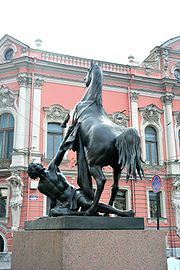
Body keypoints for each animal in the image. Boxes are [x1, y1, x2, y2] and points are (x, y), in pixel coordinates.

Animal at [51, 60, 143, 215]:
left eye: (87, 71)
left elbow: (63, 143)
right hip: (117, 167)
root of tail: (118, 137)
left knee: (101, 181)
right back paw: (107, 212)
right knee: (115, 187)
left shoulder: (73, 125)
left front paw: (54, 163)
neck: (91, 101)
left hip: (93, 163)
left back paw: (90, 210)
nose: (84, 79)